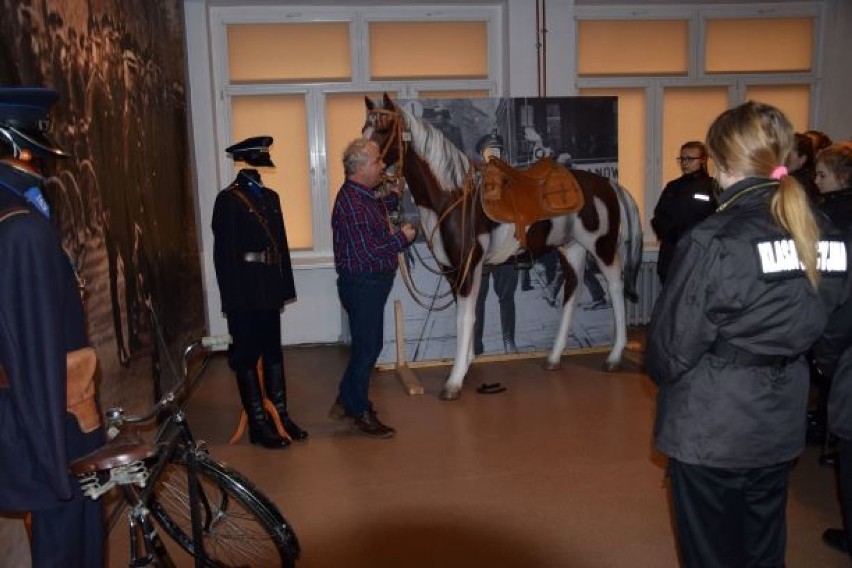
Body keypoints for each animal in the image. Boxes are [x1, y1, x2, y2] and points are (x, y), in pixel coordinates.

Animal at [362, 93, 644, 400]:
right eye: (364, 127)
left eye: (383, 128)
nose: (359, 159)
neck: (453, 197)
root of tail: (609, 184)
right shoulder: (453, 270)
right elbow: (469, 313)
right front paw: (467, 365)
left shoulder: (469, 266)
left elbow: (465, 317)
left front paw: (454, 381)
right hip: (571, 248)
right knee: (573, 289)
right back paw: (554, 358)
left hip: (602, 246)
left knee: (615, 286)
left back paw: (614, 357)